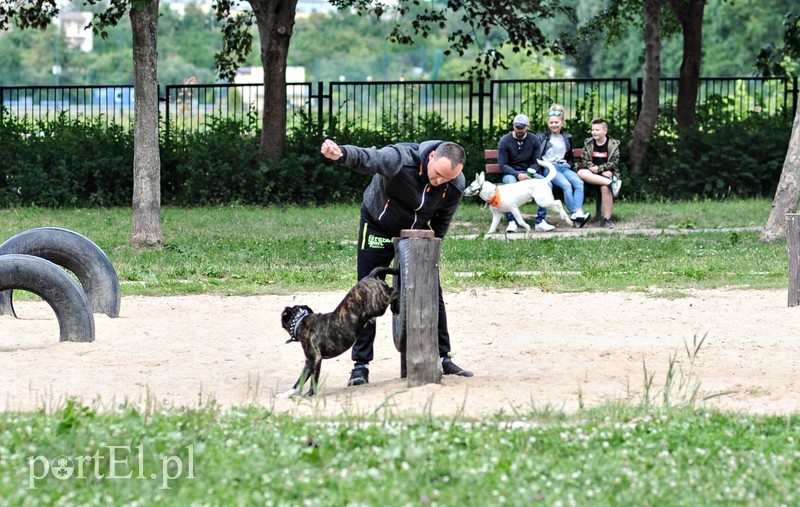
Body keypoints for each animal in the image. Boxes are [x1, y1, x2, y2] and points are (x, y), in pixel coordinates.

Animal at [278, 266, 400, 396]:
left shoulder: (315, 359)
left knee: (394, 291)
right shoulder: (308, 363)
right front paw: (286, 394)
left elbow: (313, 380)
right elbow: (299, 382)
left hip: (378, 307)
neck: (300, 320)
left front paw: (310, 394)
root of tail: (370, 276)